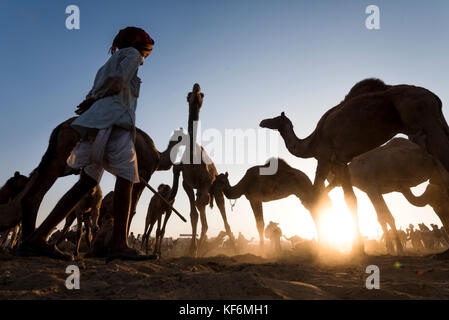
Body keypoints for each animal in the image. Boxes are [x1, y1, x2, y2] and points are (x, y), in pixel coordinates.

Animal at [0, 115, 182, 240]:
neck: (159, 157)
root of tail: (60, 127)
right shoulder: (145, 172)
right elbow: (132, 209)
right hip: (65, 153)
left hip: (61, 159)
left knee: (39, 180)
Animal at [260, 79, 448, 254]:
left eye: (275, 118)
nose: (262, 121)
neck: (310, 143)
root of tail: (433, 96)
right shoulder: (341, 162)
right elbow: (350, 200)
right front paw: (357, 249)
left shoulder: (324, 157)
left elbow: (317, 197)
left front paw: (324, 250)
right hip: (434, 122)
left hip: (423, 119)